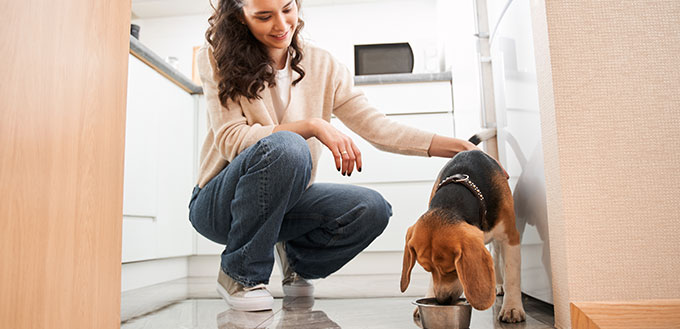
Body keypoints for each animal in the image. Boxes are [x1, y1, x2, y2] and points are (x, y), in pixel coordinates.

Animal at [402, 131, 528, 322]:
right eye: (427, 269)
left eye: (452, 269)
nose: (442, 301)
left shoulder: (511, 237)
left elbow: (512, 274)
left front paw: (512, 308)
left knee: (496, 255)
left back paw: (499, 285)